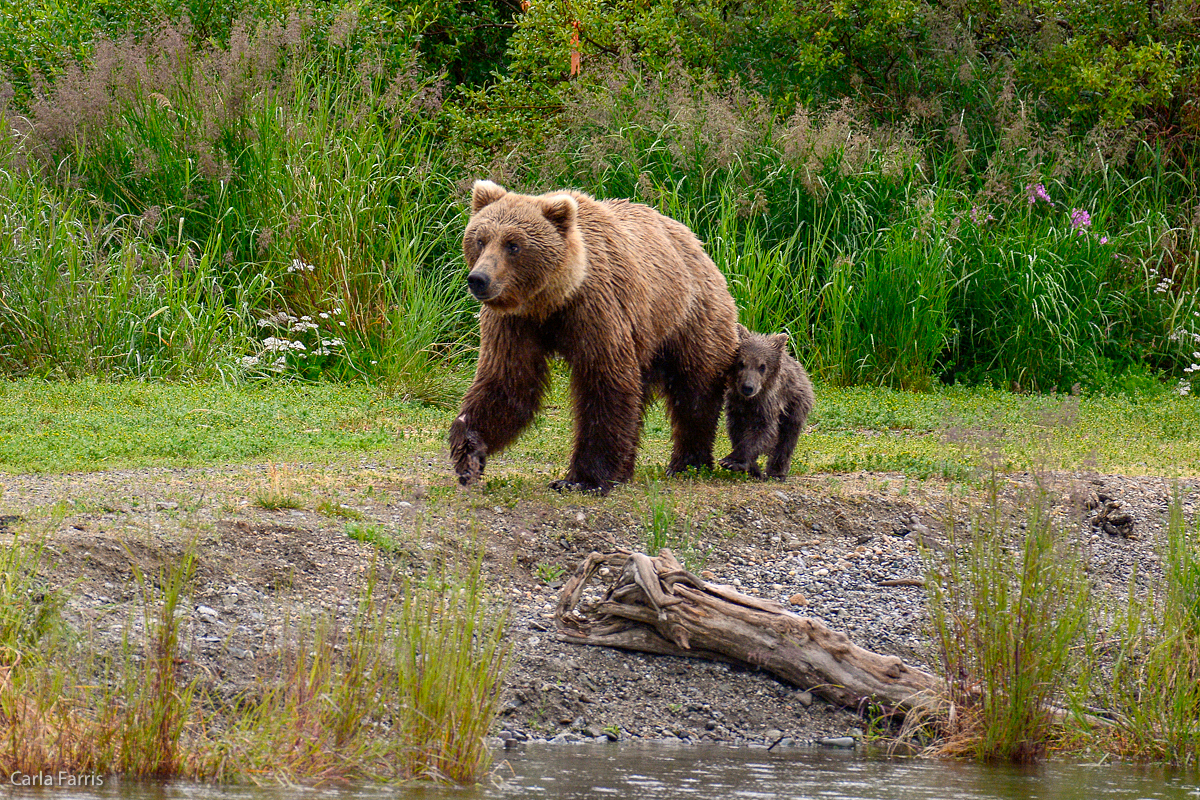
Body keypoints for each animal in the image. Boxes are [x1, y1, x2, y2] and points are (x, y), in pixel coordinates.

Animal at [448, 181, 734, 494]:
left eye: (513, 245)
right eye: (480, 239)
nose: (479, 279)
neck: (552, 302)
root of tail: (697, 243)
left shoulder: (596, 310)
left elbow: (604, 384)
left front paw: (582, 478)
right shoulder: (514, 323)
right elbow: (508, 383)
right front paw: (468, 452)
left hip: (687, 316)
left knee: (694, 389)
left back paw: (688, 462)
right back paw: (628, 470)